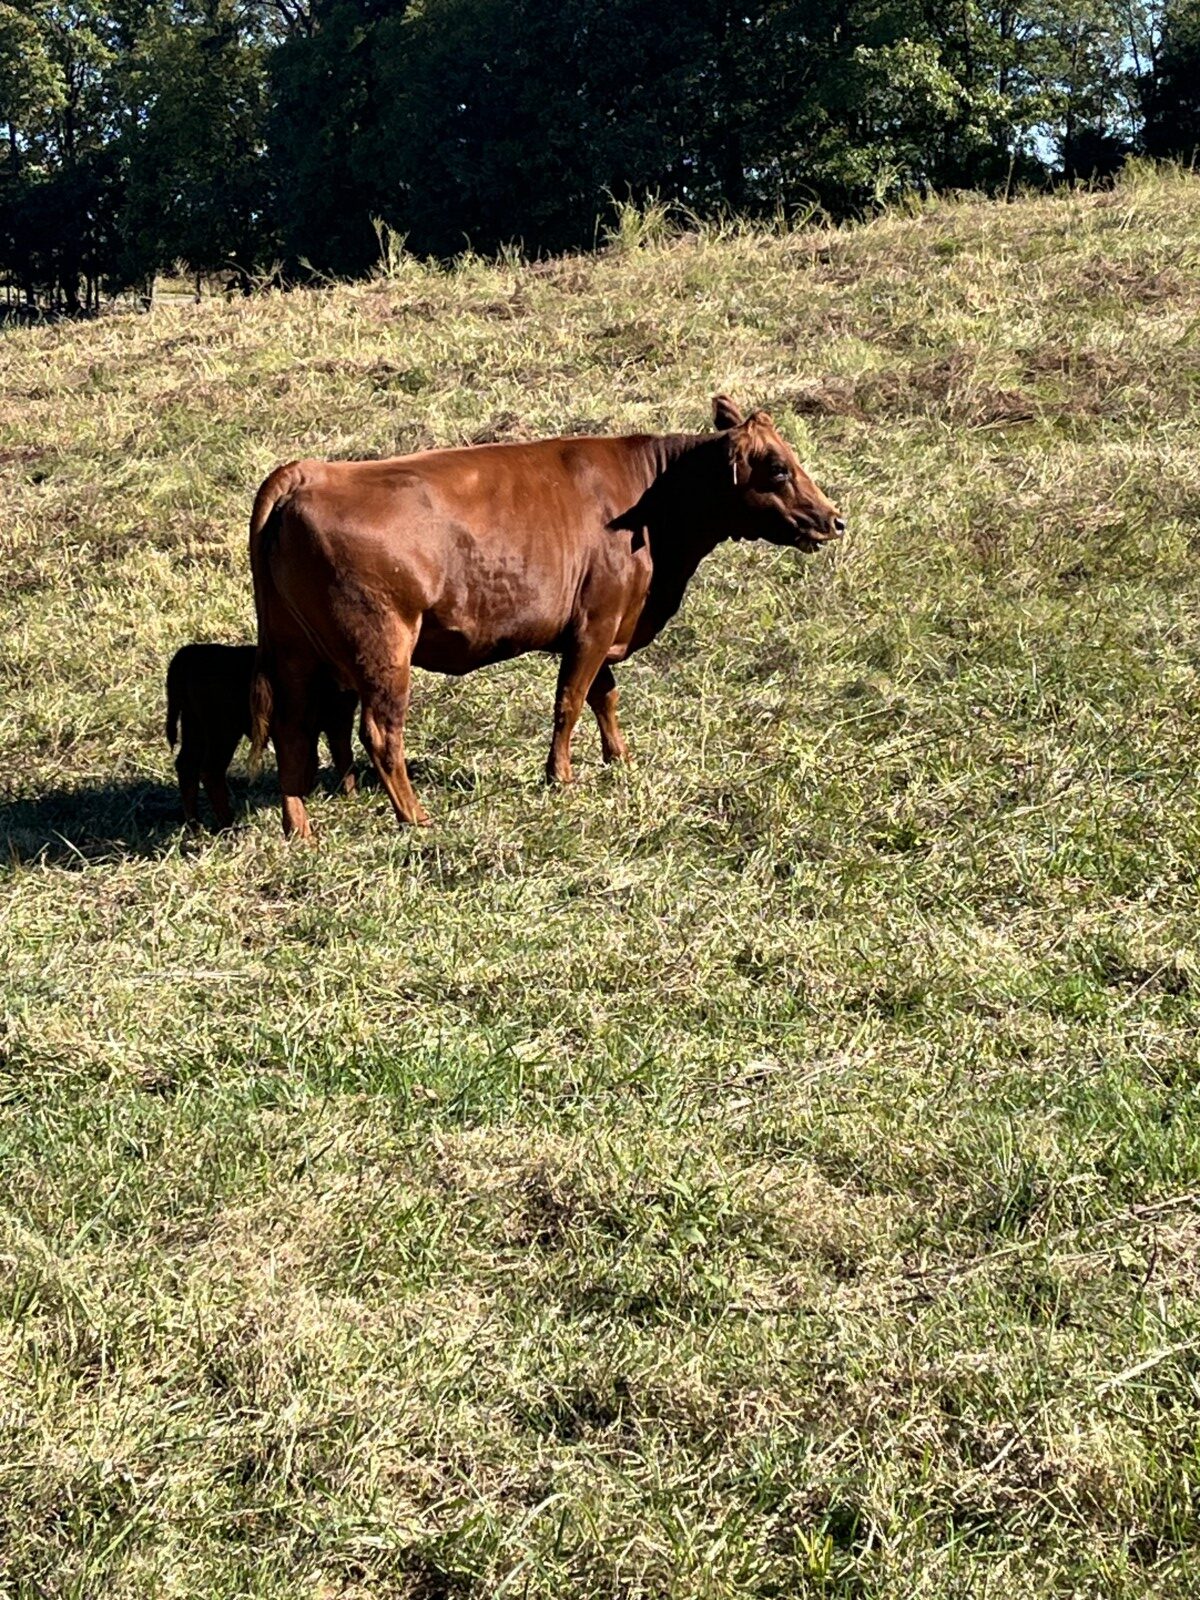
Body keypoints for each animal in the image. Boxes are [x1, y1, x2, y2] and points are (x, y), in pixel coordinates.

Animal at [166, 641, 357, 829]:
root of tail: (191, 652)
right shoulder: (337, 724)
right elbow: (343, 760)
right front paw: (352, 798)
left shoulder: (320, 729)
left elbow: (313, 762)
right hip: (222, 731)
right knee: (210, 770)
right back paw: (229, 825)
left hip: (194, 726)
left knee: (186, 765)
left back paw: (195, 824)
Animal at [248, 395, 844, 839]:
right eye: (779, 469)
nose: (834, 519)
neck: (651, 508)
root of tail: (309, 472)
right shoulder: (595, 624)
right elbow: (571, 702)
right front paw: (561, 777)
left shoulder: (605, 625)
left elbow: (605, 696)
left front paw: (620, 760)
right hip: (382, 647)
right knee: (379, 731)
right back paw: (414, 818)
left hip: (298, 650)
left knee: (294, 729)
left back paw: (303, 826)